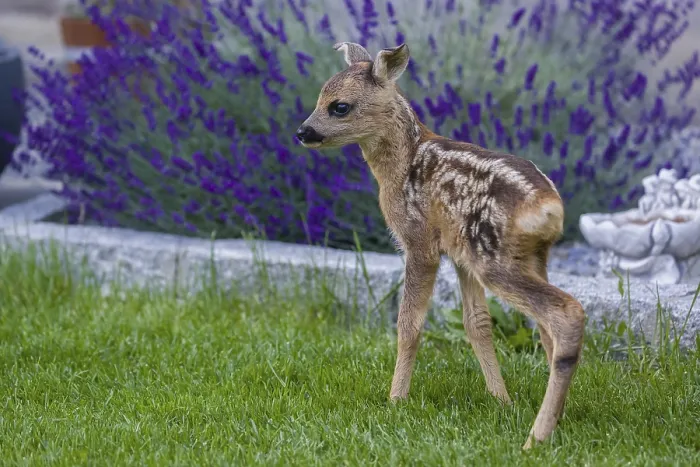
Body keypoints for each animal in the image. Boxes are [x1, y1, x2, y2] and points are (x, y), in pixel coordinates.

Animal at [295, 41, 586, 450]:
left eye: (340, 106)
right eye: (320, 97)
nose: (303, 132)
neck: (399, 166)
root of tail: (548, 208)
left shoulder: (420, 242)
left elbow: (409, 322)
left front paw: (395, 400)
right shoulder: (459, 255)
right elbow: (477, 323)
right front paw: (502, 400)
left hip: (495, 259)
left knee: (567, 312)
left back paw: (536, 437)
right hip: (525, 257)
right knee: (547, 327)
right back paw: (556, 420)